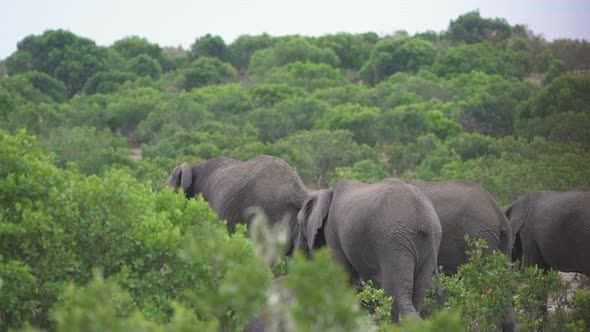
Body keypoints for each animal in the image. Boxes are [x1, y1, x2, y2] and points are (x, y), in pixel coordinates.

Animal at [298, 180, 442, 322]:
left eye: (299, 223)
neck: (328, 192)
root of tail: (427, 222)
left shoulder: (332, 231)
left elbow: (343, 272)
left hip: (394, 242)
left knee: (396, 294)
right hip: (431, 241)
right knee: (418, 292)